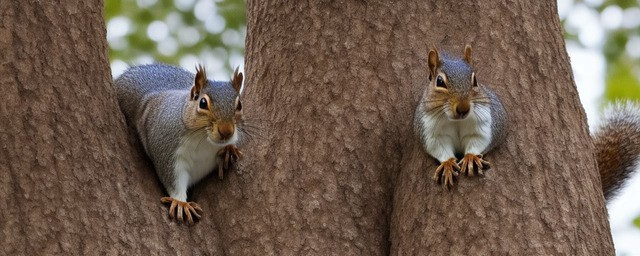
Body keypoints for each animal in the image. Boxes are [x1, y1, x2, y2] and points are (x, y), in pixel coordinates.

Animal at [114, 64, 244, 224]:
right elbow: (172, 178)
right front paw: (181, 203)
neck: (203, 140)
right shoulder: (166, 148)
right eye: (203, 103)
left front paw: (229, 149)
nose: (226, 131)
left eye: (239, 105)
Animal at [416, 44, 640, 200]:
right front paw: (447, 164)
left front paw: (471, 157)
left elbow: (479, 139)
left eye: (475, 80)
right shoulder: (430, 129)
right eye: (439, 81)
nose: (463, 108)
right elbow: (438, 147)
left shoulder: (485, 120)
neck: (455, 120)